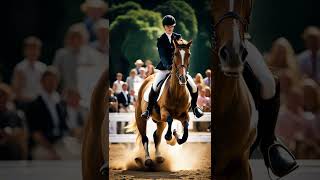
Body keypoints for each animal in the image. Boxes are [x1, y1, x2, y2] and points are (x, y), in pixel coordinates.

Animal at [127, 38, 192, 167]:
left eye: (189, 54)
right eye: (175, 54)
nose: (183, 79)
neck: (177, 92)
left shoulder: (184, 115)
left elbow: (186, 130)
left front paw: (176, 137)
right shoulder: (164, 112)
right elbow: (170, 119)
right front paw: (170, 136)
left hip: (160, 122)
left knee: (156, 136)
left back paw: (158, 157)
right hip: (141, 118)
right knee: (145, 138)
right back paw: (147, 159)